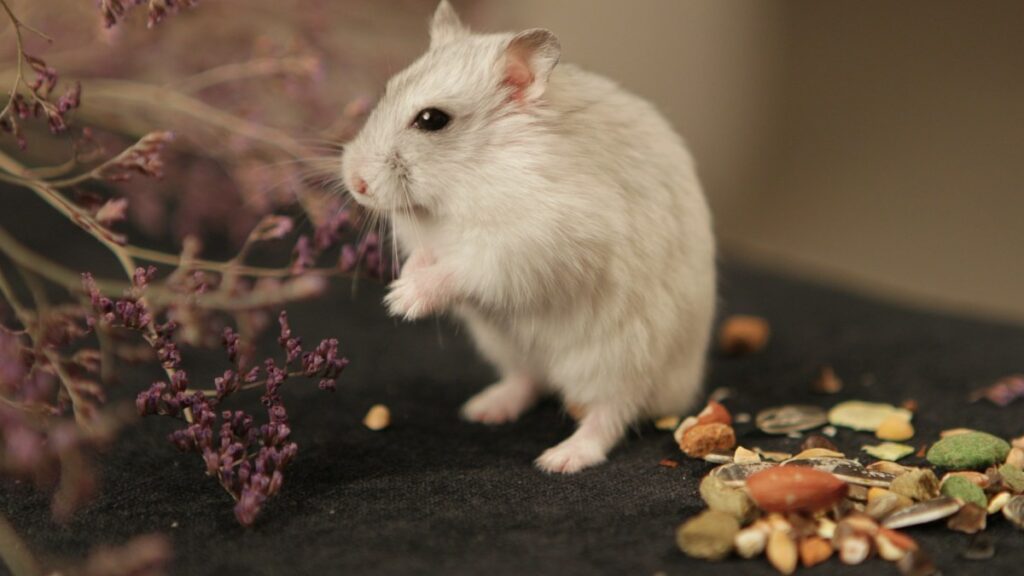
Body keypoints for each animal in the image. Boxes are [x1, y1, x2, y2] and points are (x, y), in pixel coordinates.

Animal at [340, 0, 716, 473]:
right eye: (387, 90)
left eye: (431, 120)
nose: (355, 182)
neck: (461, 181)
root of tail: (681, 389)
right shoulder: (432, 241)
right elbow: (426, 258)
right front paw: (400, 287)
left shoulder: (529, 244)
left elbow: (461, 269)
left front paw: (401, 301)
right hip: (509, 348)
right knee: (529, 380)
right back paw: (483, 409)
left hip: (618, 362)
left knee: (610, 415)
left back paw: (559, 459)